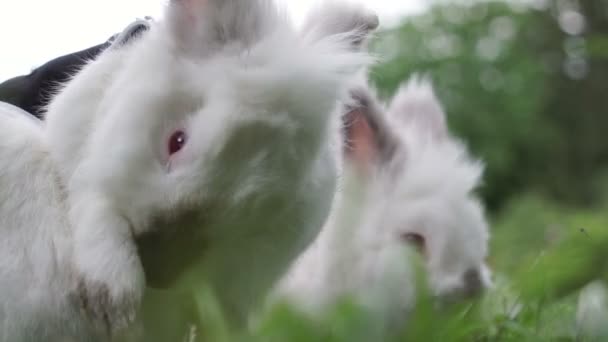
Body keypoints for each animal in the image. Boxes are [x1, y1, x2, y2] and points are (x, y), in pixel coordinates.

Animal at [0, 0, 378, 340]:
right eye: (176, 141)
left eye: (274, 201)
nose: (160, 270)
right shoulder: (87, 154)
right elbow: (96, 202)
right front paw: (113, 299)